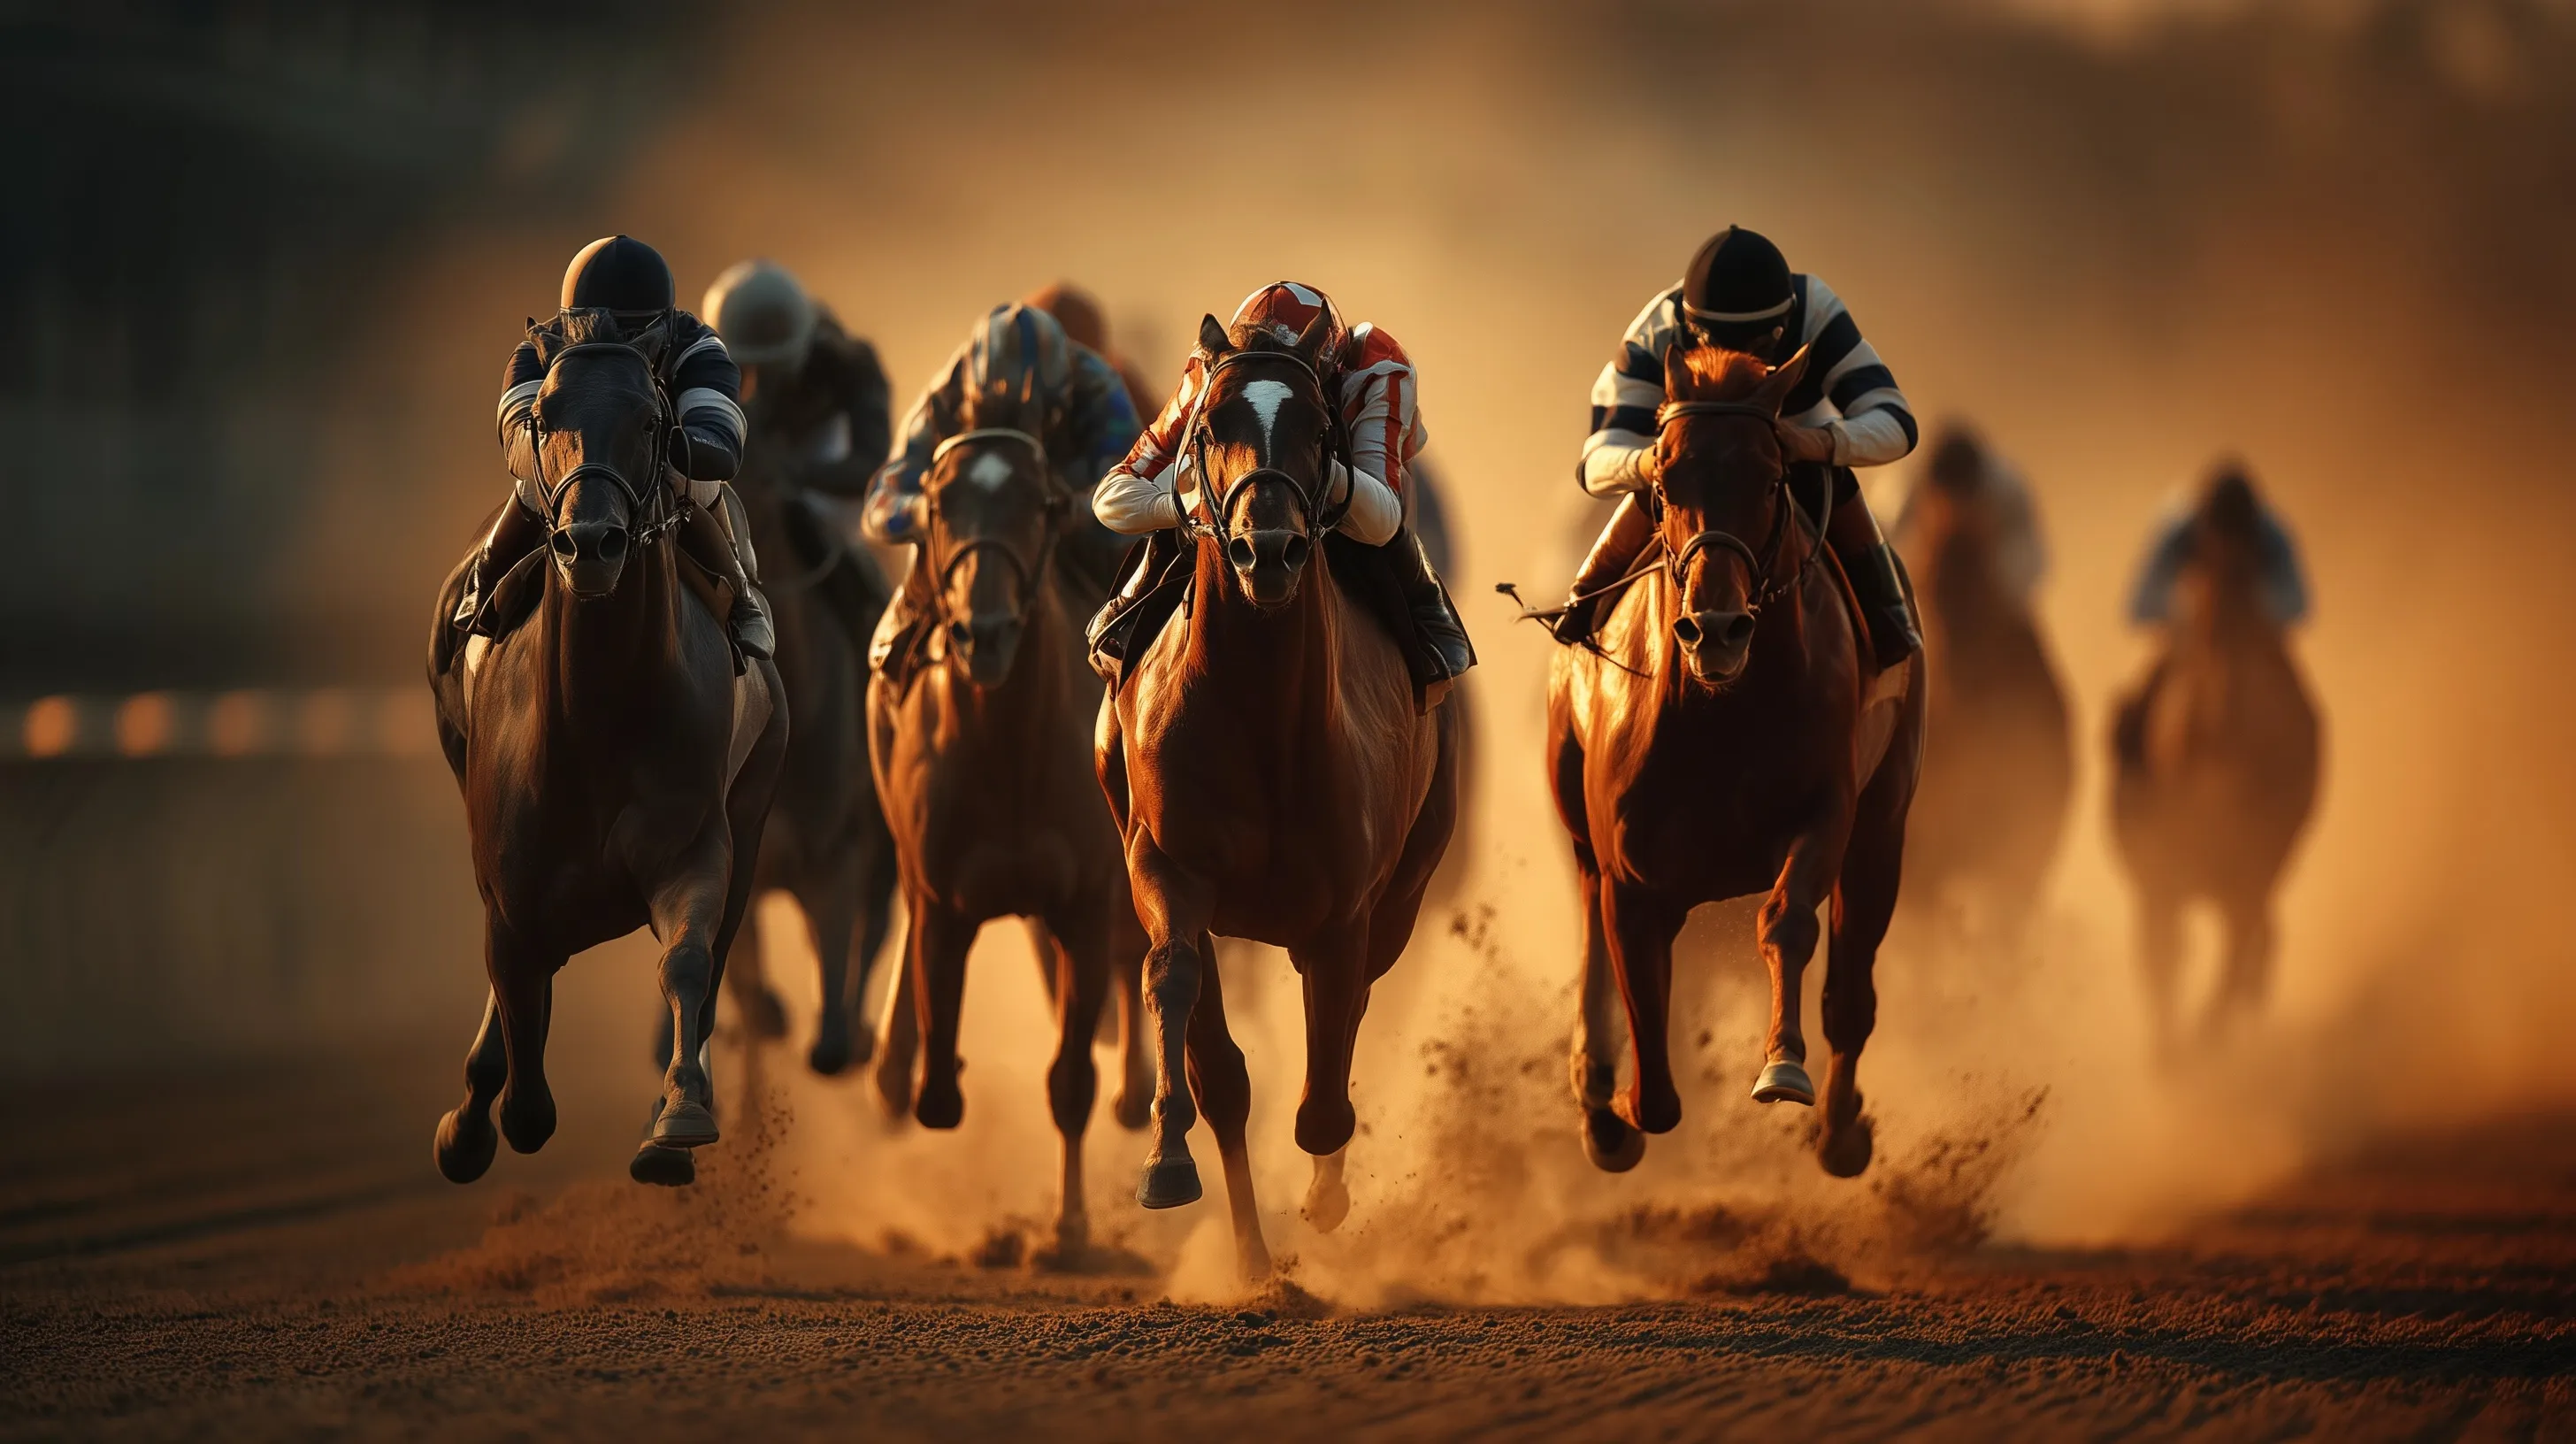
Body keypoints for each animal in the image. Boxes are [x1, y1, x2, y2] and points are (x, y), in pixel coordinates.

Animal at [426, 308, 788, 1190]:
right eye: (543, 418)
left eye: (652, 421)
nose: (591, 544)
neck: (595, 721)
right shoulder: (510, 890)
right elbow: (520, 1028)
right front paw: (475, 1126)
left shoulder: (695, 848)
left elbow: (687, 963)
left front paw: (678, 1116)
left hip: (755, 803)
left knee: (716, 966)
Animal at [864, 377, 1150, 1256]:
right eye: (939, 504)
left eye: (1040, 504)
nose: (982, 635)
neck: (1010, 753)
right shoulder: (943, 900)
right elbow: (937, 1089)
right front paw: (915, 1073)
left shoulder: (1083, 903)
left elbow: (1071, 1078)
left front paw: (1070, 1228)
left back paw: (1140, 1090)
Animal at [1097, 310, 1461, 1281]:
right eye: (1209, 425)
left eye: (1318, 427)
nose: (1267, 549)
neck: (1258, 716)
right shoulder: (1166, 868)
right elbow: (1187, 1009)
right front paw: (1167, 1165)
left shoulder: (1345, 913)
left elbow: (1324, 1098)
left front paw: (1325, 1200)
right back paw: (1253, 1254)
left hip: (1405, 890)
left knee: (1347, 1023)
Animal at [1544, 340, 1923, 1180]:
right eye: (1663, 483)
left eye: (1772, 478)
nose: (1714, 629)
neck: (1721, 715)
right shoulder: (1628, 875)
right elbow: (1650, 1053)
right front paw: (1620, 1111)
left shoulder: (1827, 814)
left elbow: (1787, 921)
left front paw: (1783, 1067)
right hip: (1578, 828)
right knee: (1588, 925)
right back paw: (1597, 1095)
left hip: (1885, 821)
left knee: (1852, 994)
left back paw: (1841, 1132)